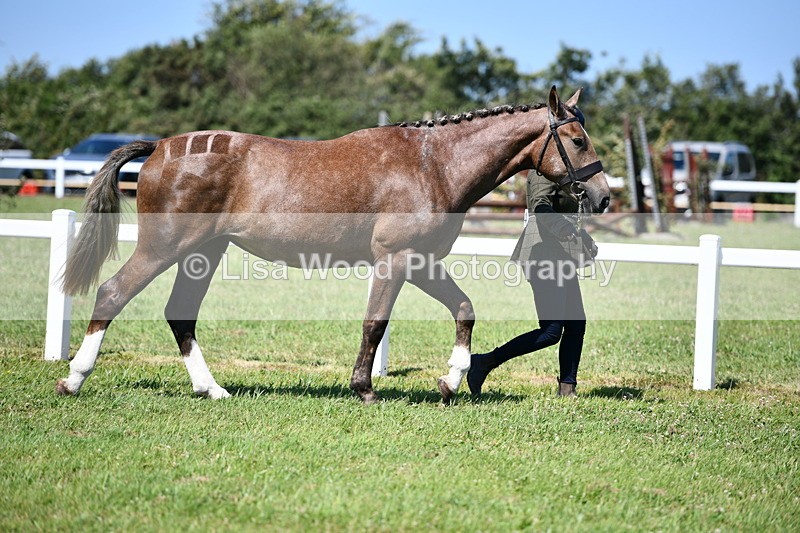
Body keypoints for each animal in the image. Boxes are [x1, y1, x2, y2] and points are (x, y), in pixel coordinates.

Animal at [56, 86, 610, 404]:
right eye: (577, 140)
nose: (603, 196)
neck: (432, 164)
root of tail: (160, 147)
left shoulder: (421, 262)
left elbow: (465, 309)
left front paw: (453, 380)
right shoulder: (395, 260)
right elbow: (375, 324)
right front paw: (364, 389)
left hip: (203, 254)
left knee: (179, 315)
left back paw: (211, 389)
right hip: (163, 249)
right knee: (111, 294)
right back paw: (74, 379)